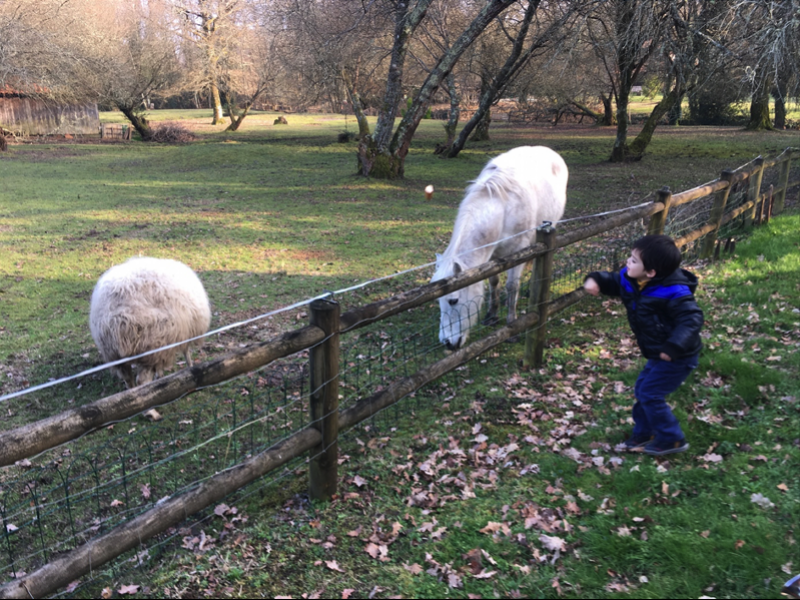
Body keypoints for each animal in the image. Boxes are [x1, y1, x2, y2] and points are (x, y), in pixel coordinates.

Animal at [89, 258, 211, 390]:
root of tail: (117, 319)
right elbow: (186, 351)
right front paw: (190, 367)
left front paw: (161, 375)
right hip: (150, 348)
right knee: (142, 381)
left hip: (114, 354)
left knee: (128, 378)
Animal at [432, 145, 568, 350]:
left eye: (453, 300)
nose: (447, 343)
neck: (502, 208)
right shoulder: (492, 255)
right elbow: (493, 281)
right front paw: (492, 315)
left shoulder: (518, 250)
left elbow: (512, 286)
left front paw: (512, 326)